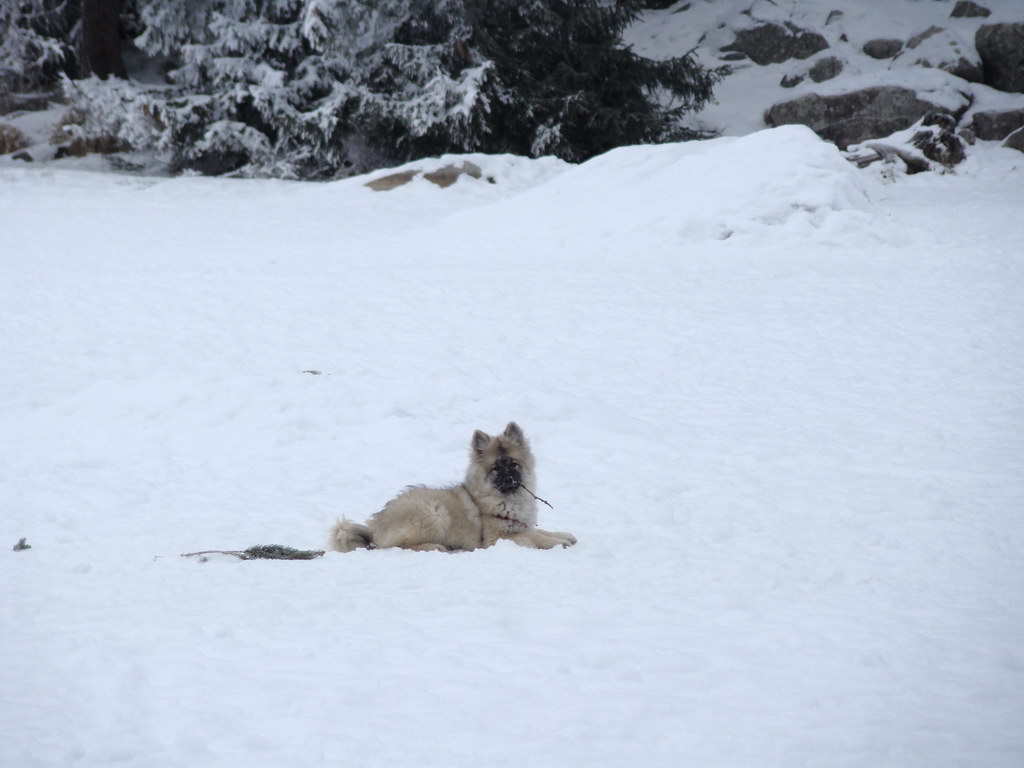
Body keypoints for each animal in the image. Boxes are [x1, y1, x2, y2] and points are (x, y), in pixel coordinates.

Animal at [331, 423, 581, 557]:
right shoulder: (499, 536)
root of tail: (376, 526)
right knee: (399, 546)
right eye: (496, 468)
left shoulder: (520, 524)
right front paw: (558, 543)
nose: (509, 478)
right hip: (433, 513)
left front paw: (563, 535)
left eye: (513, 464)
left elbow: (543, 531)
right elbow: (535, 536)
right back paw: (436, 546)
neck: (507, 499)